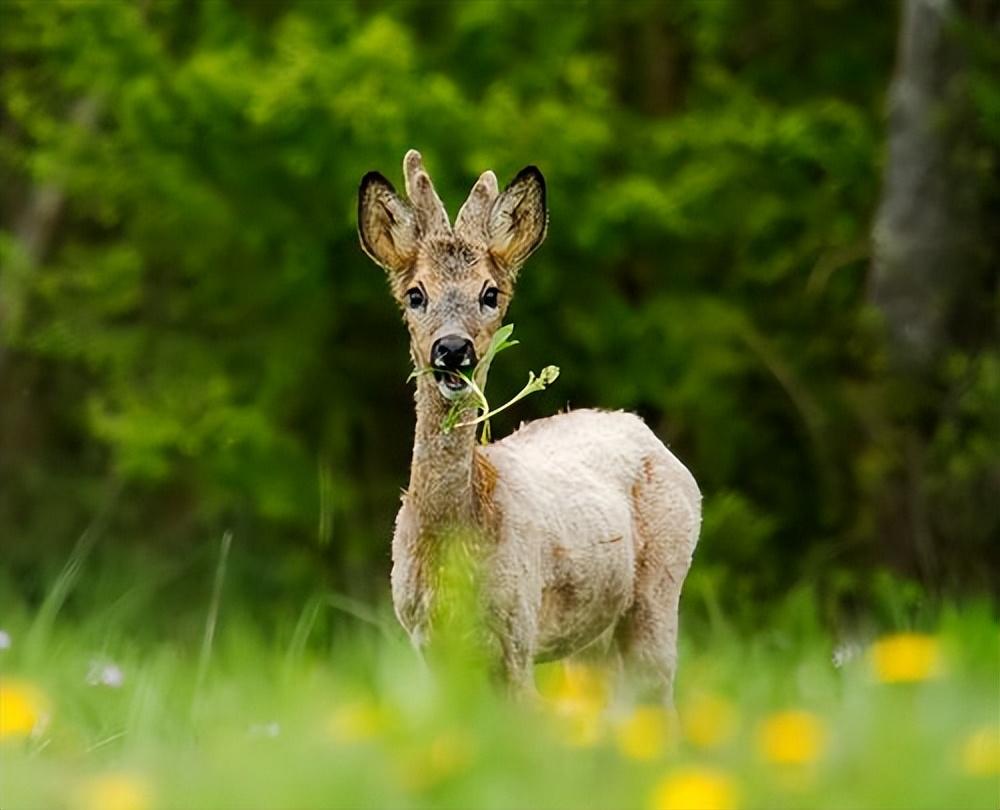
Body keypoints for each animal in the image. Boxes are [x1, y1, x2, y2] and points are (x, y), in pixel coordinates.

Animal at [360, 150, 704, 700]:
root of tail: (646, 433)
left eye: (490, 293)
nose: (452, 350)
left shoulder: (517, 625)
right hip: (590, 641)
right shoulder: (424, 636)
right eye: (415, 294)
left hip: (660, 586)